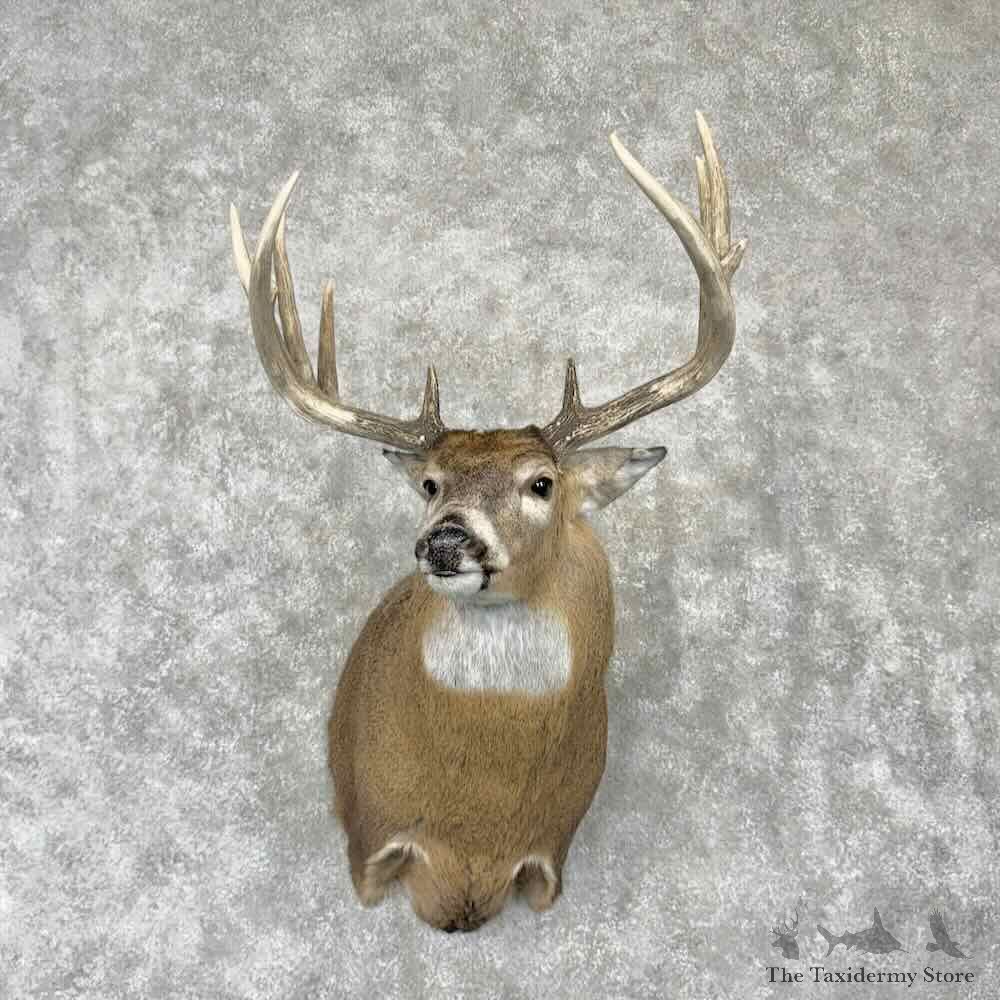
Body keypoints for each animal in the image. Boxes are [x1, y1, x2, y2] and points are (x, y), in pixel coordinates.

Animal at [229, 112, 745, 933]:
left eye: (541, 482)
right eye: (429, 484)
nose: (445, 540)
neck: (473, 829)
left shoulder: (550, 855)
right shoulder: (371, 837)